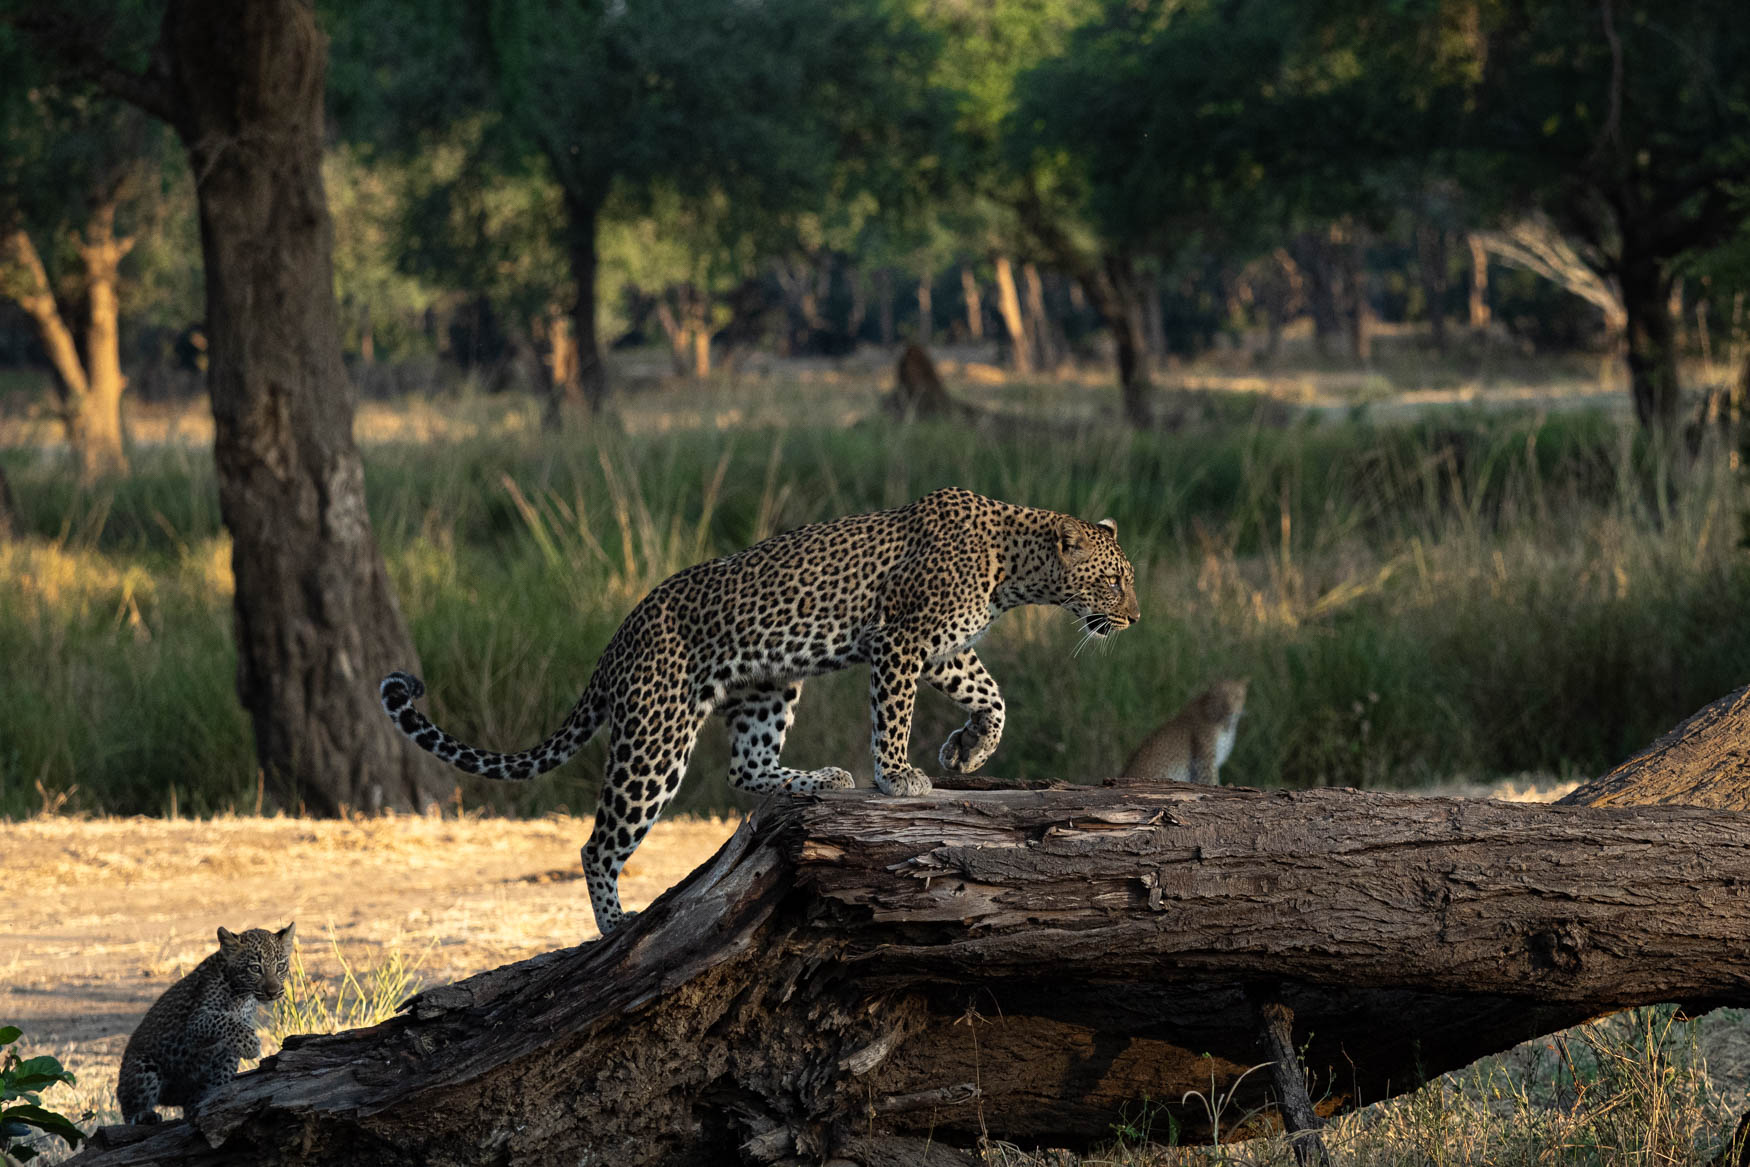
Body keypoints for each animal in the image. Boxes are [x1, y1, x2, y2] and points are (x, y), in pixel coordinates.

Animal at [116, 923, 295, 1126]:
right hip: (142, 1068)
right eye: (255, 968)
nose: (273, 991)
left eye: (280, 966)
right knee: (130, 1106)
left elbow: (224, 1070)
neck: (241, 995)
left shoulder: (227, 1051)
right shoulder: (195, 1024)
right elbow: (221, 1020)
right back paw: (144, 1115)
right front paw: (250, 1045)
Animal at [385, 489, 1141, 937]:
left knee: (747, 769)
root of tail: (619, 633)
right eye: (1112, 580)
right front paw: (898, 777)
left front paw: (968, 749)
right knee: (598, 843)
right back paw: (616, 926)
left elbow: (993, 695)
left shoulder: (942, 648)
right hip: (656, 735)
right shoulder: (901, 641)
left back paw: (817, 779)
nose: (1135, 617)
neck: (1013, 569)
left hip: (768, 685)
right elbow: (893, 715)